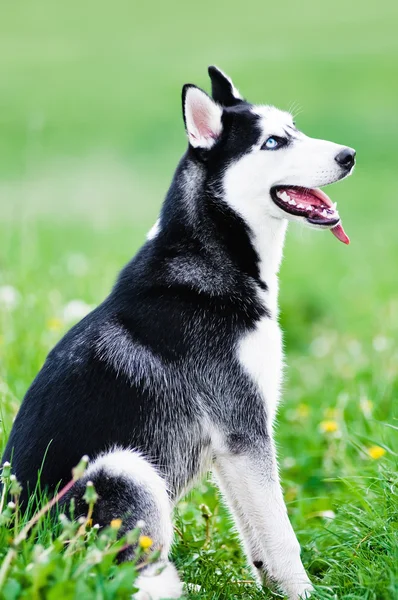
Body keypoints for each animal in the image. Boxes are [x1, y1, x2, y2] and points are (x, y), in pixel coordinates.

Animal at [3, 68, 356, 596]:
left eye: (295, 129)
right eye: (273, 142)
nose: (349, 155)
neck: (216, 256)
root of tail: (17, 545)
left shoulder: (232, 448)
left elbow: (259, 540)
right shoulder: (243, 428)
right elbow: (283, 537)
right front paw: (305, 593)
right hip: (124, 469)